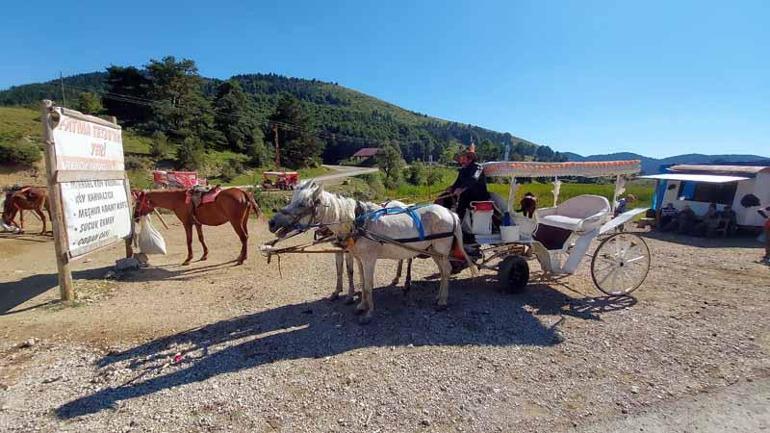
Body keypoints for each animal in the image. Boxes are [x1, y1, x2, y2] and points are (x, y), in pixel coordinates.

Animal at [134, 187, 262, 264]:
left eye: (138, 202)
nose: (135, 216)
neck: (178, 199)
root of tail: (243, 192)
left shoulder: (187, 224)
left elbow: (189, 240)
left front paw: (188, 258)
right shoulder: (197, 224)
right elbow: (201, 238)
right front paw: (204, 255)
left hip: (236, 222)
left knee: (243, 237)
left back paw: (242, 259)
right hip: (243, 222)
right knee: (246, 237)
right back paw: (241, 256)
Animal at [268, 181, 474, 322]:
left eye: (302, 204)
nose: (271, 222)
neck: (356, 221)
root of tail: (450, 213)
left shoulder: (368, 260)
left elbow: (367, 285)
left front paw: (368, 314)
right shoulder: (359, 258)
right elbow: (360, 280)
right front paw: (361, 305)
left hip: (441, 250)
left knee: (446, 271)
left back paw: (442, 301)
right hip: (434, 251)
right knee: (443, 271)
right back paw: (438, 297)